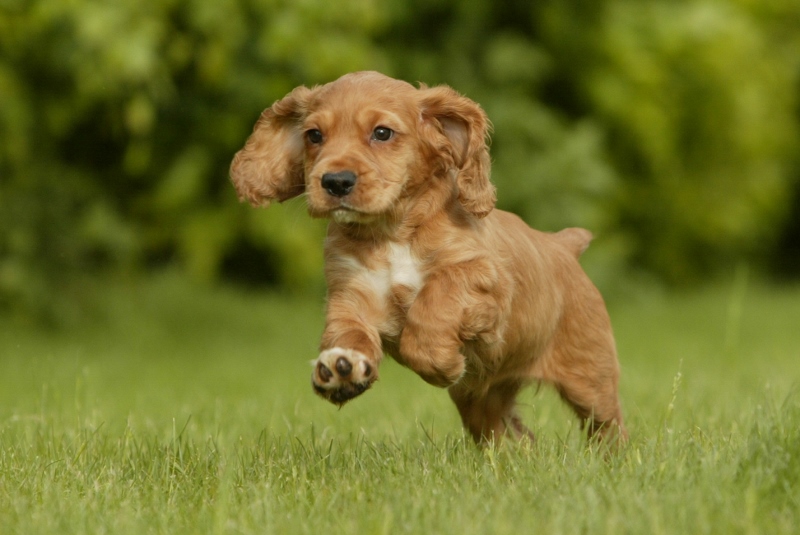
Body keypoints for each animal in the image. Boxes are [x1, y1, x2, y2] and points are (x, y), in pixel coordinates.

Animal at [228, 73, 628, 446]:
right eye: (313, 135)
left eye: (382, 133)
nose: (335, 182)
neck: (392, 233)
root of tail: (563, 245)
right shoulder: (350, 295)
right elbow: (349, 333)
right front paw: (342, 370)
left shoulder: (486, 278)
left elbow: (438, 292)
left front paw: (439, 360)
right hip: (482, 398)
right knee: (511, 436)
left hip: (590, 376)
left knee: (609, 427)